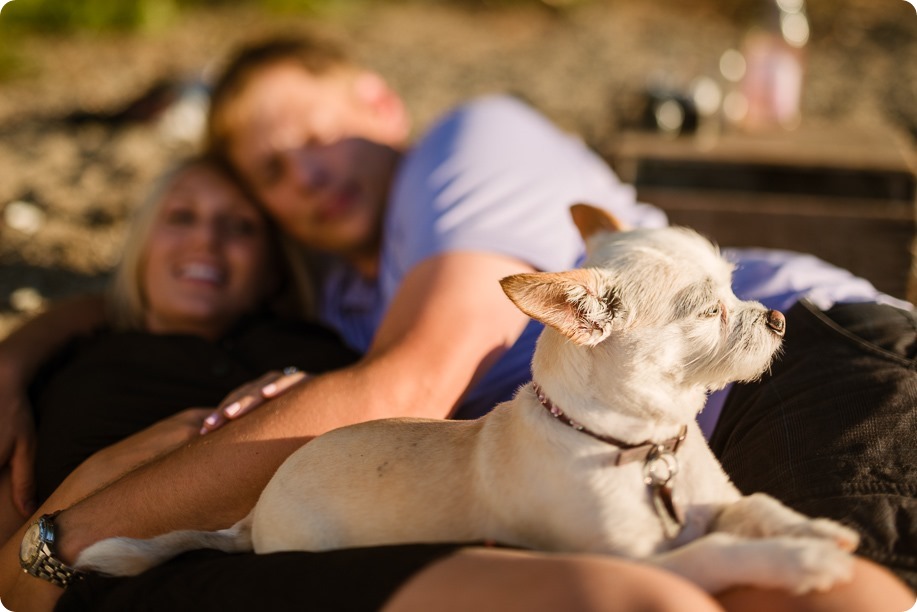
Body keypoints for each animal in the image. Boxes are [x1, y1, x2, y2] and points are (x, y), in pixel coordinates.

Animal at [75, 204, 856, 592]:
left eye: (733, 287)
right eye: (708, 311)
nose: (777, 317)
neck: (643, 448)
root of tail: (252, 517)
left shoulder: (713, 500)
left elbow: (756, 507)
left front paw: (813, 530)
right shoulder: (642, 562)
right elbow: (718, 550)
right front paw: (801, 564)